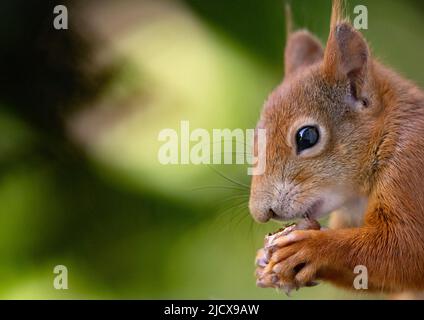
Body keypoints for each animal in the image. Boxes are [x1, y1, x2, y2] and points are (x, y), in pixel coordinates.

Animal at [250, 0, 424, 294]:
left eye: (307, 137)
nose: (261, 213)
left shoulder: (410, 170)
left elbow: (408, 250)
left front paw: (312, 247)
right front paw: (265, 260)